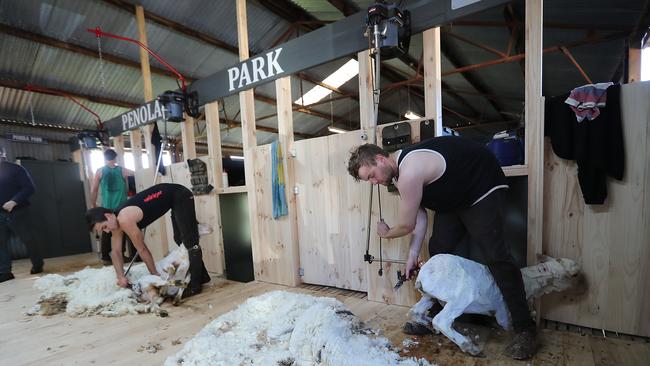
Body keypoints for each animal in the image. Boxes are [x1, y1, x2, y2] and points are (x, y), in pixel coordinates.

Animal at [408, 254, 580, 354]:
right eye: (567, 274)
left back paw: (428, 325)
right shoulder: (502, 310)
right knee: (441, 320)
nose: (578, 269)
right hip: (461, 295)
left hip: (429, 295)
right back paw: (468, 346)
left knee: (415, 311)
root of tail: (422, 275)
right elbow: (506, 324)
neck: (528, 283)